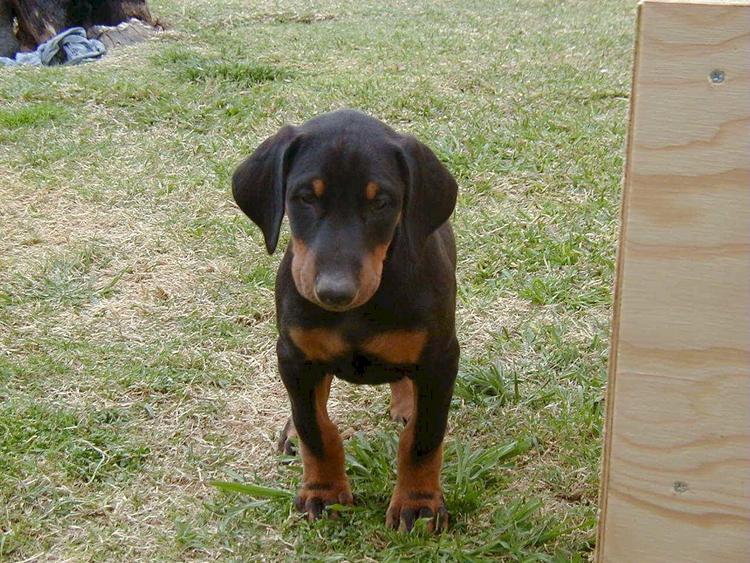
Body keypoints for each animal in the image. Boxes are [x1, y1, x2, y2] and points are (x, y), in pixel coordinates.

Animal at [232, 107, 462, 532]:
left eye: (382, 202)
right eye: (305, 197)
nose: (334, 293)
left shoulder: (440, 358)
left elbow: (423, 439)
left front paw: (418, 503)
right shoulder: (295, 355)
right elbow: (316, 429)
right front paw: (323, 492)